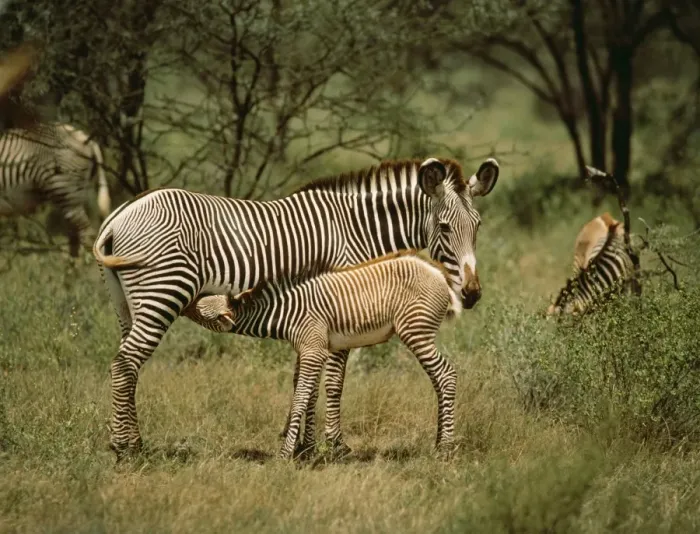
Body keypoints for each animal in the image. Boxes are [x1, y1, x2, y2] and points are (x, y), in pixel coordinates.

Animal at [181, 250, 462, 459]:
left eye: (197, 304)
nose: (180, 300)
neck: (286, 311)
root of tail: (437, 271)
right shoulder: (312, 350)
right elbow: (308, 394)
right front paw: (306, 449)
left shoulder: (313, 350)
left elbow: (300, 397)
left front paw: (285, 454)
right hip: (418, 332)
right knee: (438, 379)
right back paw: (438, 442)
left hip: (416, 331)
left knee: (446, 374)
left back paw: (446, 449)